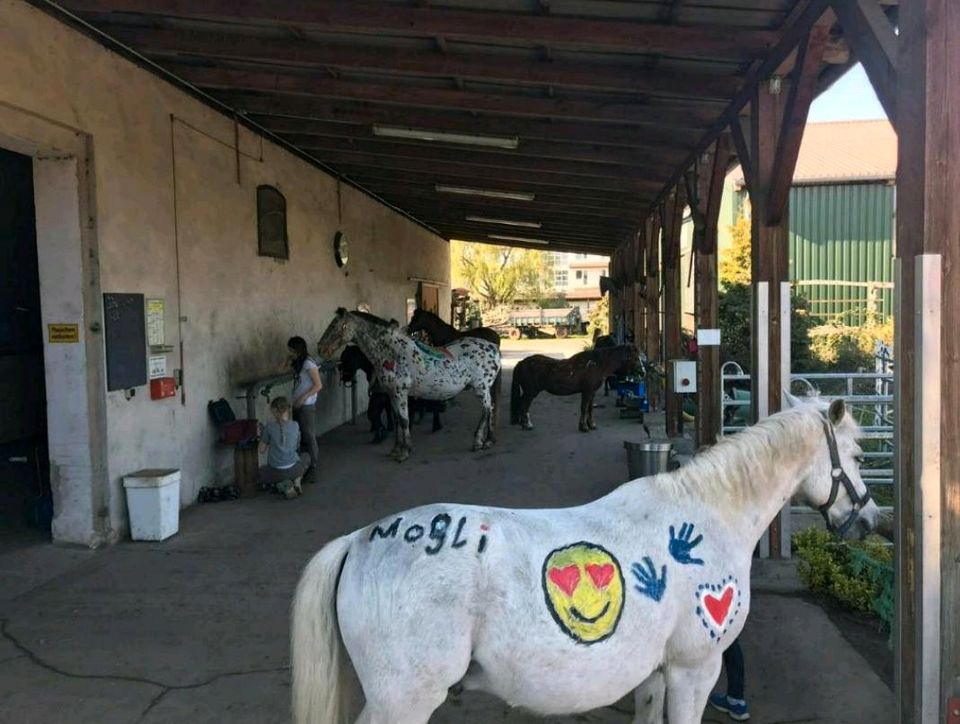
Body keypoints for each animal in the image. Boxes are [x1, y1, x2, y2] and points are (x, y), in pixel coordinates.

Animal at [290, 396, 876, 724]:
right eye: (858, 455)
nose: (869, 521)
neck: (706, 514)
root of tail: (359, 540)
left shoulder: (654, 675)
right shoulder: (694, 669)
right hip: (404, 701)